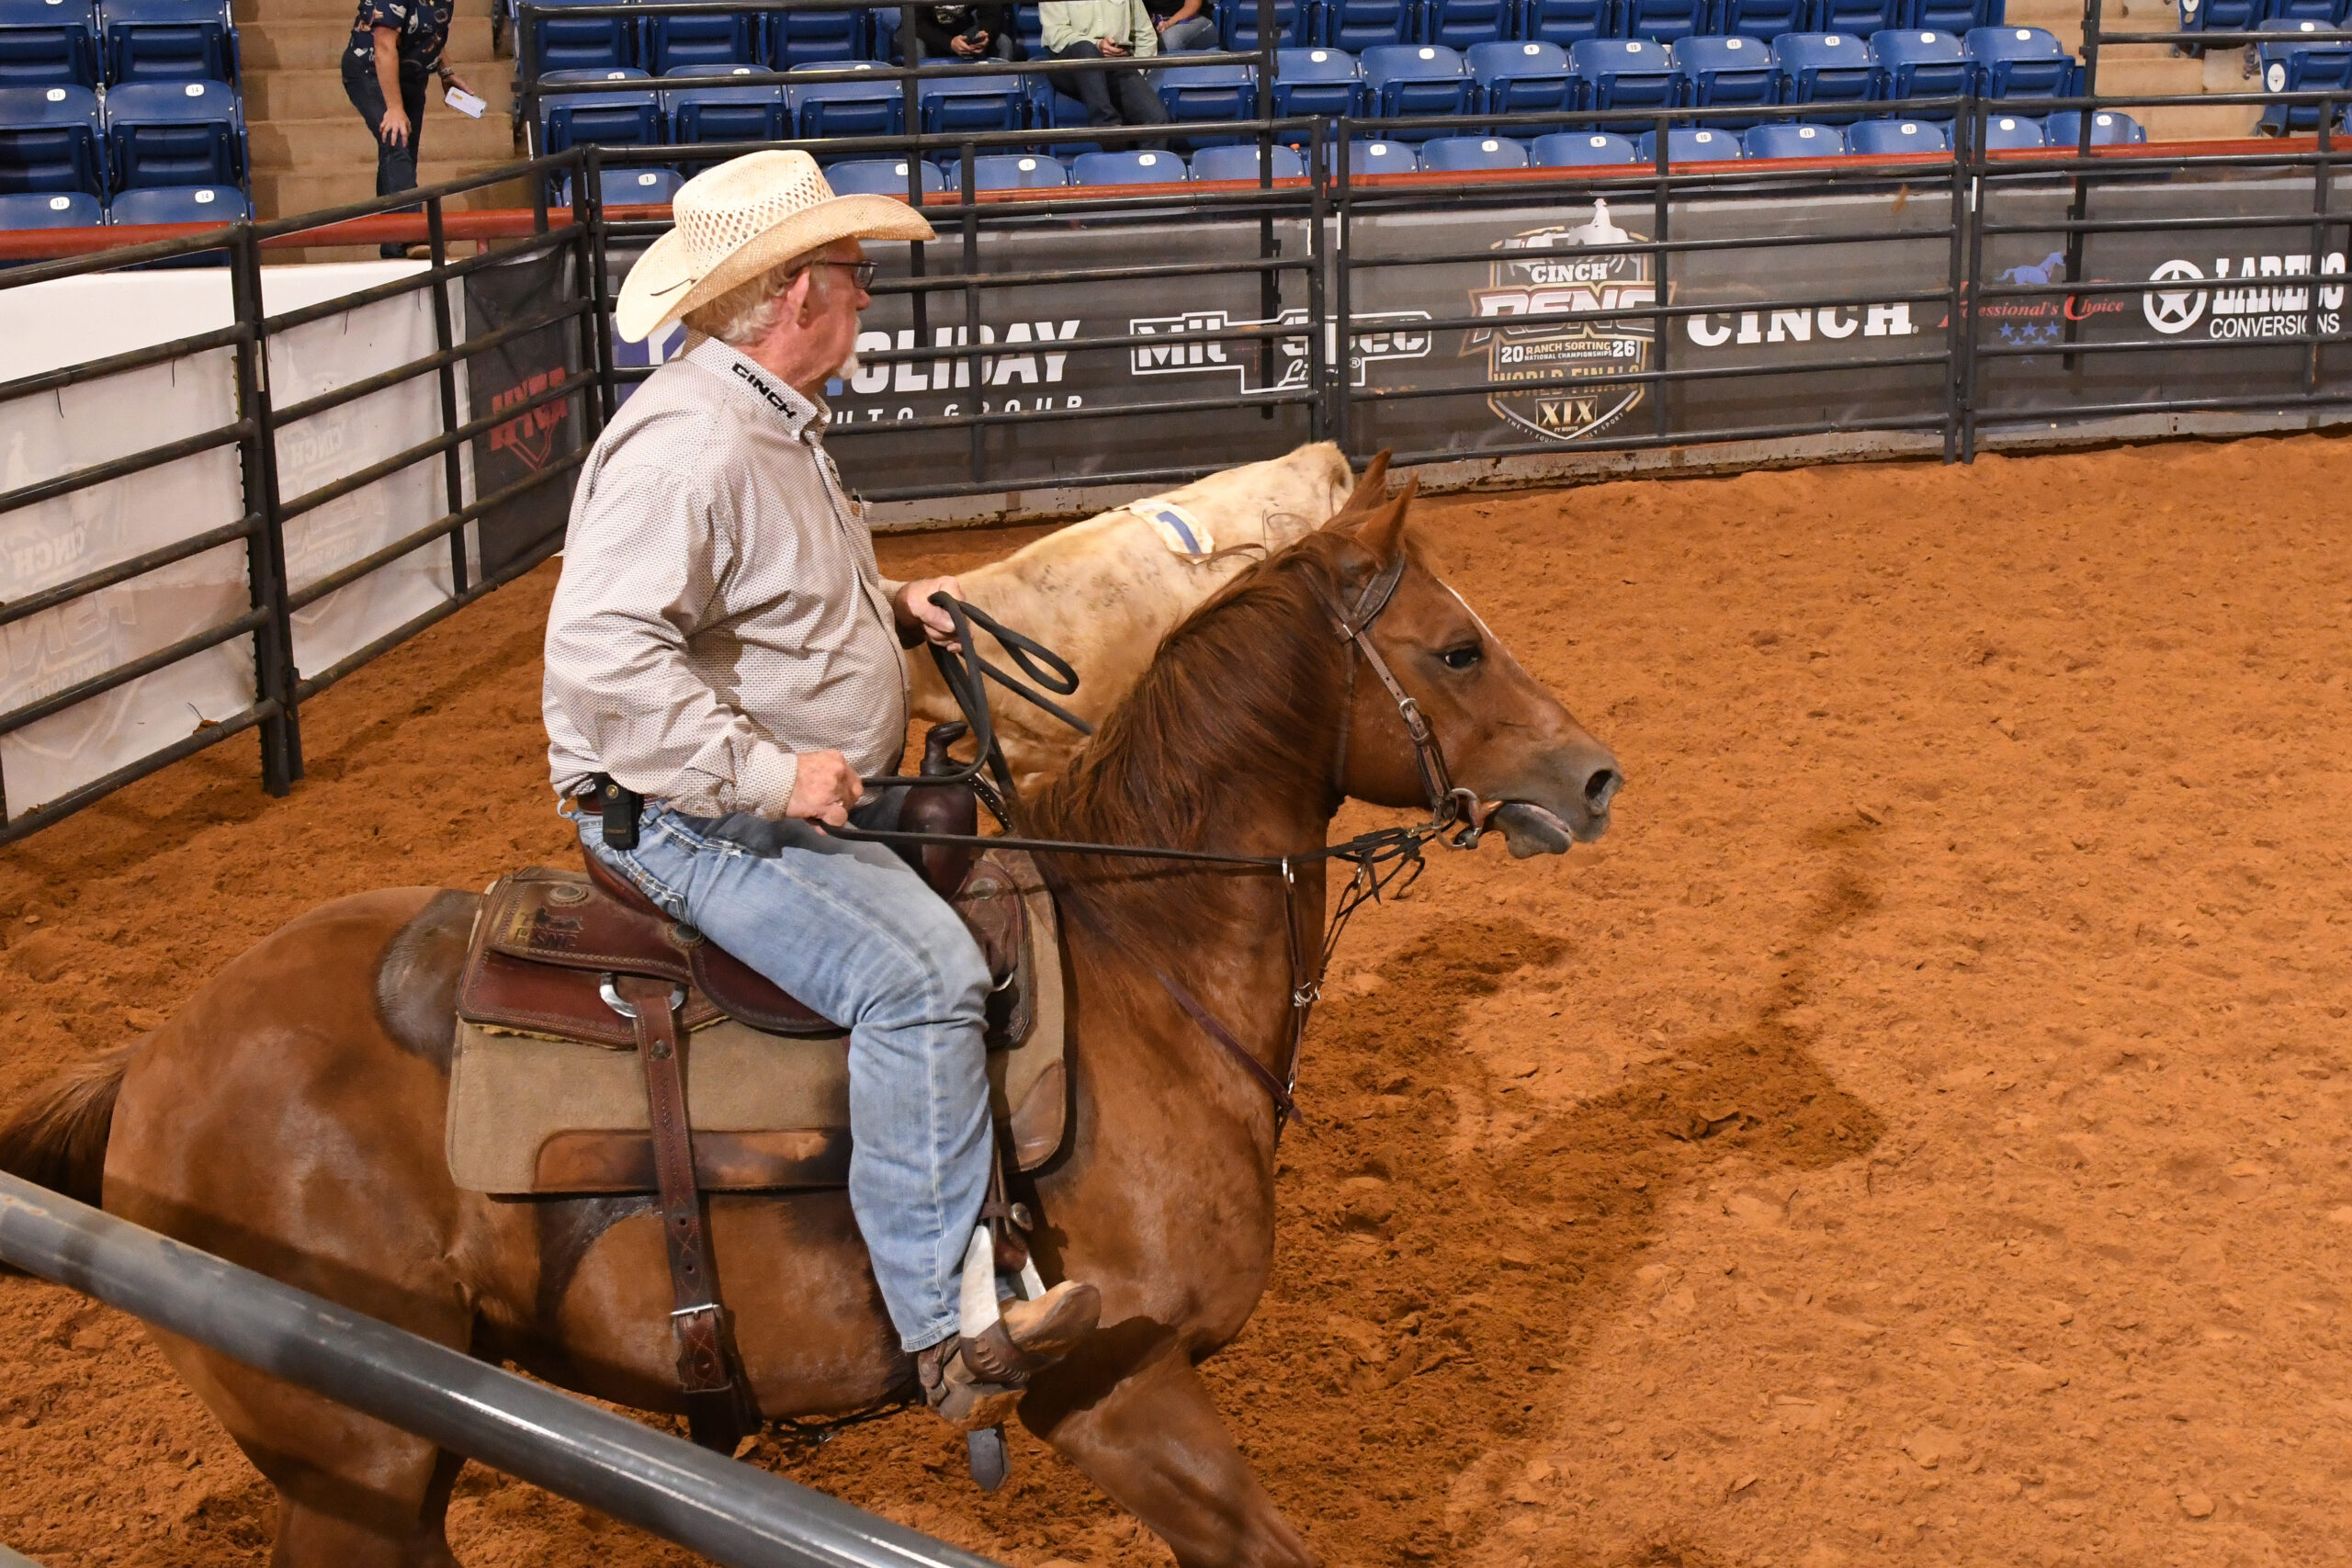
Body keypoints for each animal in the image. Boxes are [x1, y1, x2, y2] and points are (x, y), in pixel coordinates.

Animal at [0, 457, 1622, 1568]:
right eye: (1458, 648)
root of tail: (161, 1050)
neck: (1140, 972)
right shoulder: (1113, 1381)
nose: (1596, 771)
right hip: (359, 1456)